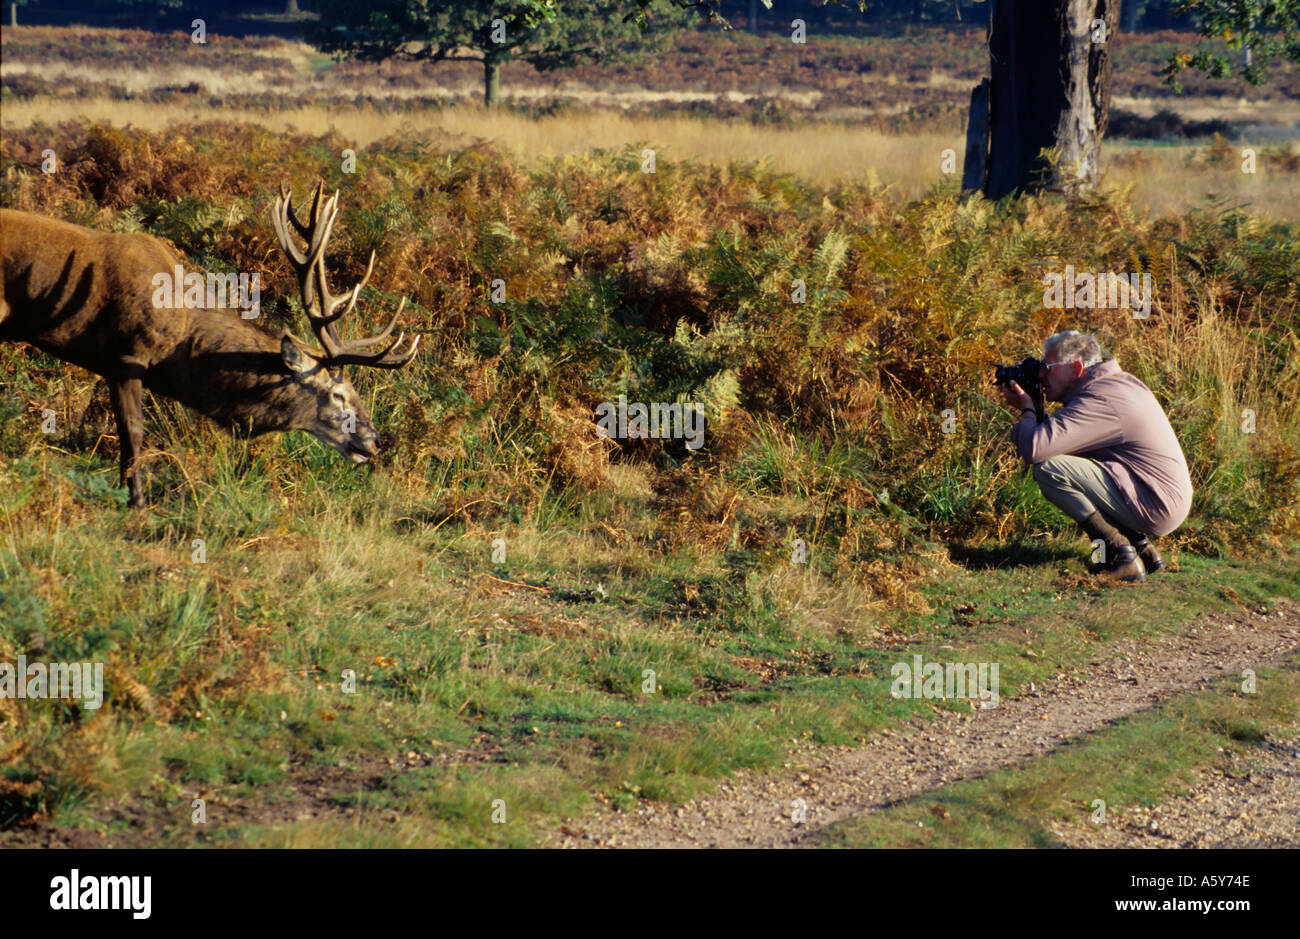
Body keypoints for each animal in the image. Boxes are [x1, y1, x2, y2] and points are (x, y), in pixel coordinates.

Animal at [0, 184, 419, 507]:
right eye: (338, 394)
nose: (376, 441)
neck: (179, 342)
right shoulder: (125, 355)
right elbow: (133, 432)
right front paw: (136, 500)